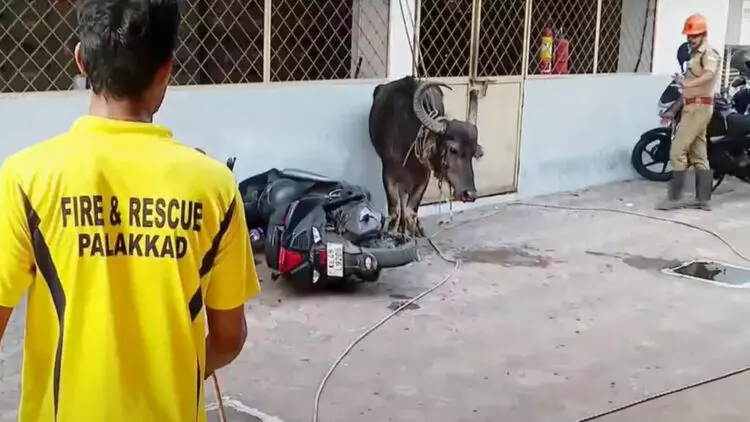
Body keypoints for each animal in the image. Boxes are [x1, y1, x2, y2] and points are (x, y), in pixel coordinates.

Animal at [368, 74, 482, 236]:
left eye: (473, 153)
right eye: (453, 149)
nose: (470, 194)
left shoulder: (424, 174)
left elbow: (411, 211)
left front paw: (412, 231)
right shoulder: (388, 172)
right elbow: (395, 210)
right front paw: (393, 232)